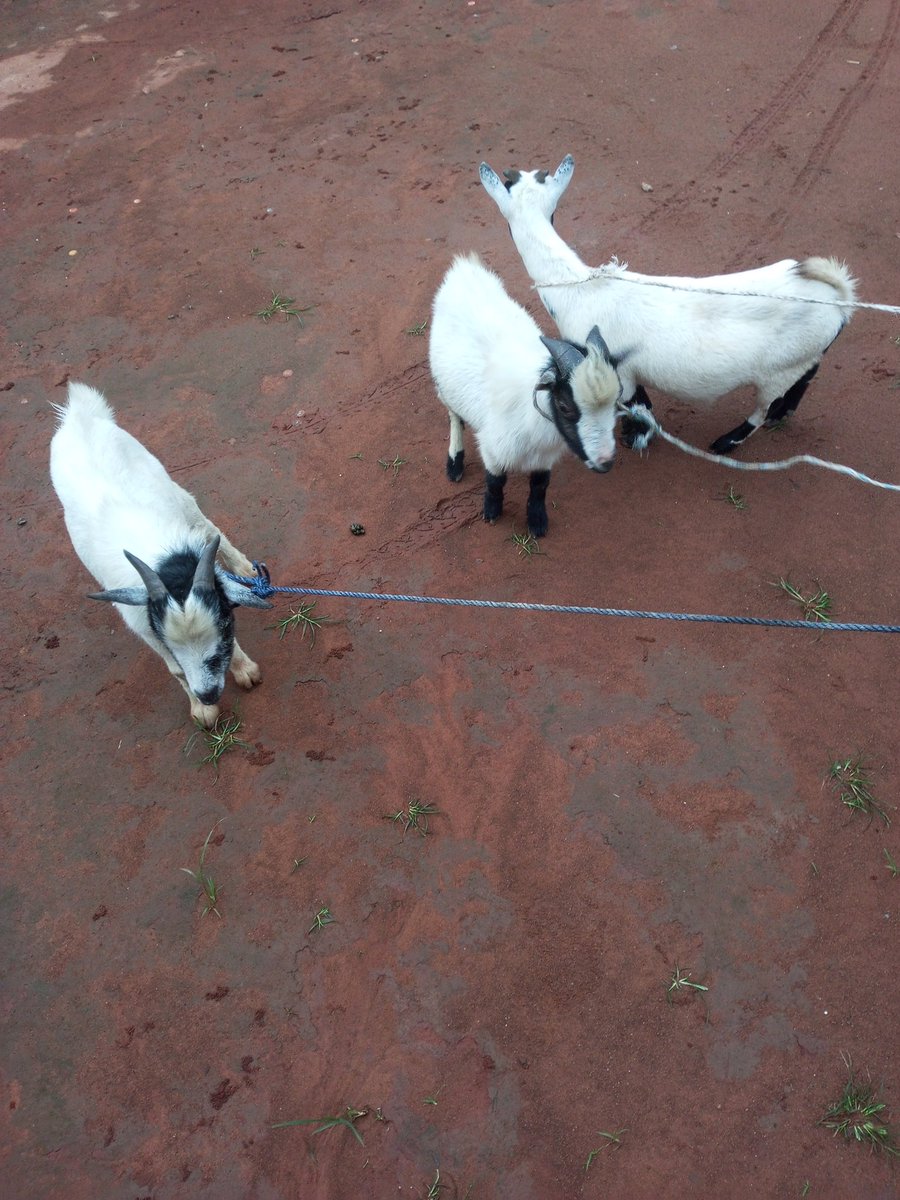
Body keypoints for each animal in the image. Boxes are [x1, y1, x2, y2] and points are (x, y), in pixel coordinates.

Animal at [49, 381, 272, 727]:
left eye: (226, 623)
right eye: (172, 643)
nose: (208, 693)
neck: (166, 564)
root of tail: (79, 417)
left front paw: (244, 670)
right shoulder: (145, 626)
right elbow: (176, 669)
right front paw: (202, 710)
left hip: (168, 483)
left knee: (204, 522)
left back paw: (244, 568)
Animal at [429, 253, 622, 537]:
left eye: (616, 402)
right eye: (564, 406)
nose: (606, 462)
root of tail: (465, 268)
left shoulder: (544, 459)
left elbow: (540, 487)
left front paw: (537, 520)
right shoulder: (493, 449)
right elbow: (495, 482)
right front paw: (492, 511)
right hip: (444, 381)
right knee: (453, 414)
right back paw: (455, 462)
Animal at [480, 155, 857, 455]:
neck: (582, 288)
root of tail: (838, 297)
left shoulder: (613, 368)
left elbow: (632, 401)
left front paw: (635, 437)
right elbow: (641, 400)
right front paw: (641, 432)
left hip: (779, 370)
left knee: (763, 408)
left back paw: (728, 441)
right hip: (807, 354)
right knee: (806, 378)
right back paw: (784, 413)